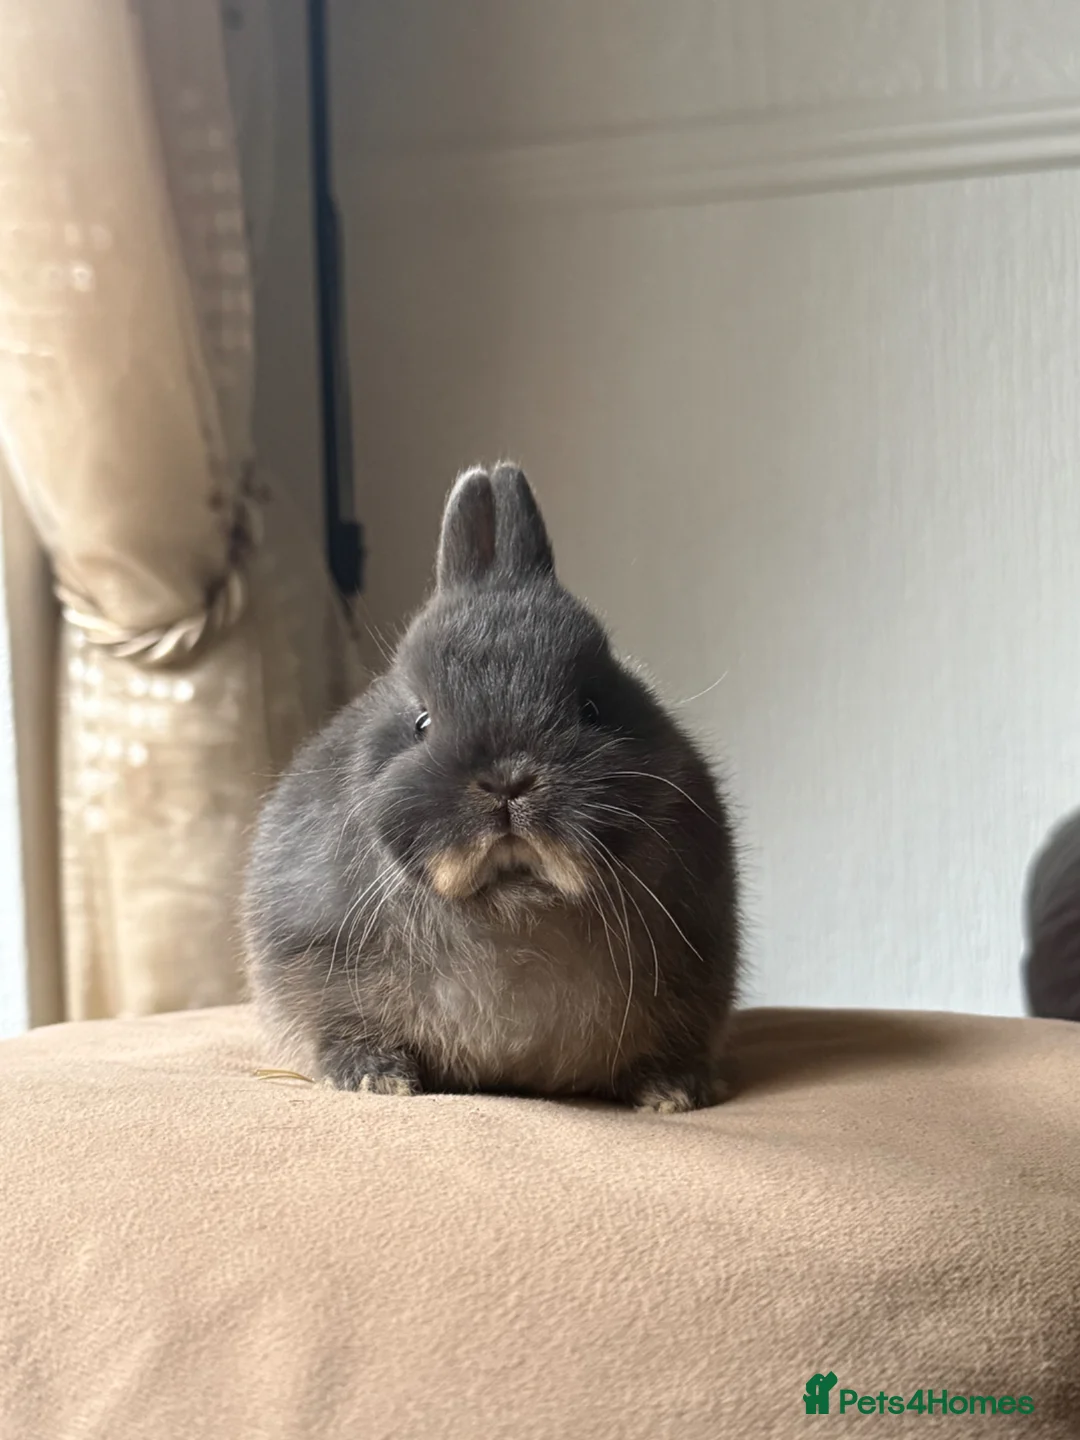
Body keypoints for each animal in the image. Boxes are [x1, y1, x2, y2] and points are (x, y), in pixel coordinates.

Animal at [242, 463, 741, 1112]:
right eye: (422, 721)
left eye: (592, 707)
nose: (507, 780)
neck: (513, 902)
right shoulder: (311, 961)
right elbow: (340, 1028)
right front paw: (377, 1079)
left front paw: (673, 1092)